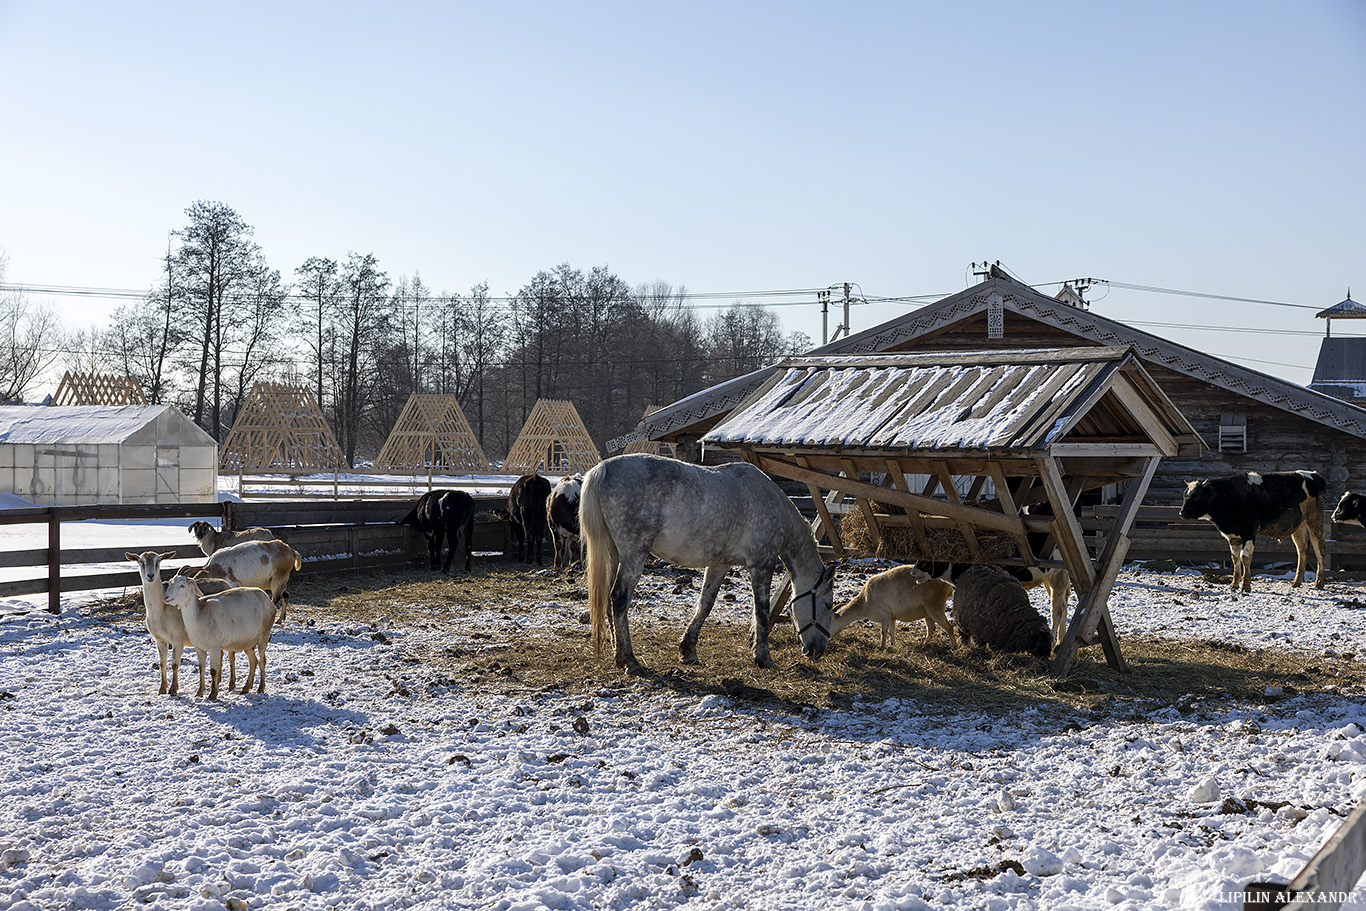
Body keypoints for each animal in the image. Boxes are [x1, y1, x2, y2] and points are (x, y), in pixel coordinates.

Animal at [819, 570, 961, 647]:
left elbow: (884, 631)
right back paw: (925, 644)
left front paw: (882, 647)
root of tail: (948, 585)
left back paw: (954, 647)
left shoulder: (885, 614)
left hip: (935, 606)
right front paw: (892, 644)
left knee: (949, 627)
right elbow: (892, 631)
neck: (865, 600)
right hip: (927, 612)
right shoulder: (892, 616)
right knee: (931, 629)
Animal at [1180, 469, 1327, 592]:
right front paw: (1234, 584)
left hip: (1314, 519)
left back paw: (1319, 582)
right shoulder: (1233, 537)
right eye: (1185, 495)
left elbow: (1245, 557)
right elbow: (1235, 558)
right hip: (1299, 525)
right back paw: (1296, 581)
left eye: (1195, 495)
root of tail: (1314, 474)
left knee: (1319, 548)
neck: (1228, 496)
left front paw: (1245, 585)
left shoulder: (1249, 532)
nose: (1182, 513)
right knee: (1302, 549)